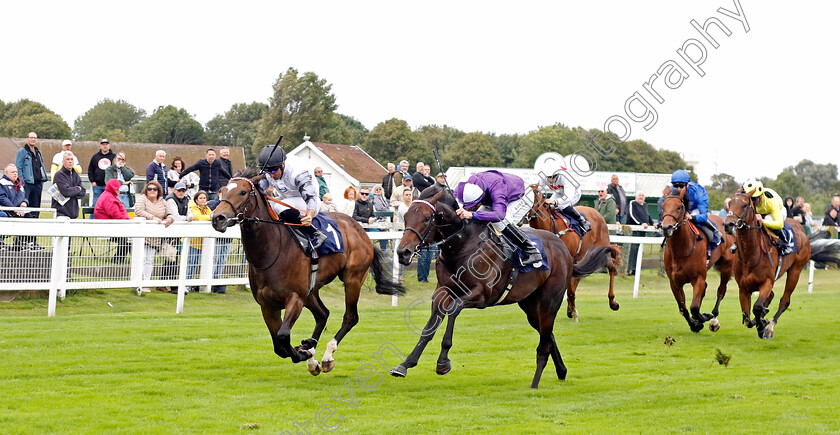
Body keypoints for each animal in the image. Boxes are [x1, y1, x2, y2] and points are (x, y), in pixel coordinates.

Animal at [212, 169, 406, 374]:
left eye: (242, 192)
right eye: (222, 190)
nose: (218, 218)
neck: (271, 251)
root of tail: (360, 230)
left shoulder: (295, 298)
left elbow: (283, 336)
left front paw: (303, 352)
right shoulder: (268, 305)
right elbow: (279, 346)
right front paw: (306, 350)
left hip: (353, 279)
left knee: (350, 317)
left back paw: (327, 356)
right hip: (312, 289)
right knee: (323, 314)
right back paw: (312, 351)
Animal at [524, 184, 624, 320]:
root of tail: (597, 213)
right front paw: (571, 309)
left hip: (601, 248)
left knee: (612, 267)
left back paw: (612, 302)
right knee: (577, 278)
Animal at [660, 190, 732, 334]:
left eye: (679, 207)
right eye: (663, 206)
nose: (666, 227)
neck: (681, 250)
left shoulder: (698, 277)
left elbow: (694, 307)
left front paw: (703, 318)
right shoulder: (674, 282)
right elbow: (683, 308)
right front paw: (694, 324)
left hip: (726, 267)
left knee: (721, 291)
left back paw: (713, 317)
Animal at [720, 192, 840, 338]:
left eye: (745, 205)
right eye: (730, 203)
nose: (728, 224)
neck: (751, 257)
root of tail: (802, 230)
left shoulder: (767, 282)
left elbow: (757, 307)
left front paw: (763, 325)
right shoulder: (743, 288)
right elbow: (747, 318)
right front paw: (761, 320)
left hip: (795, 271)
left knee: (785, 300)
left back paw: (770, 326)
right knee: (769, 298)